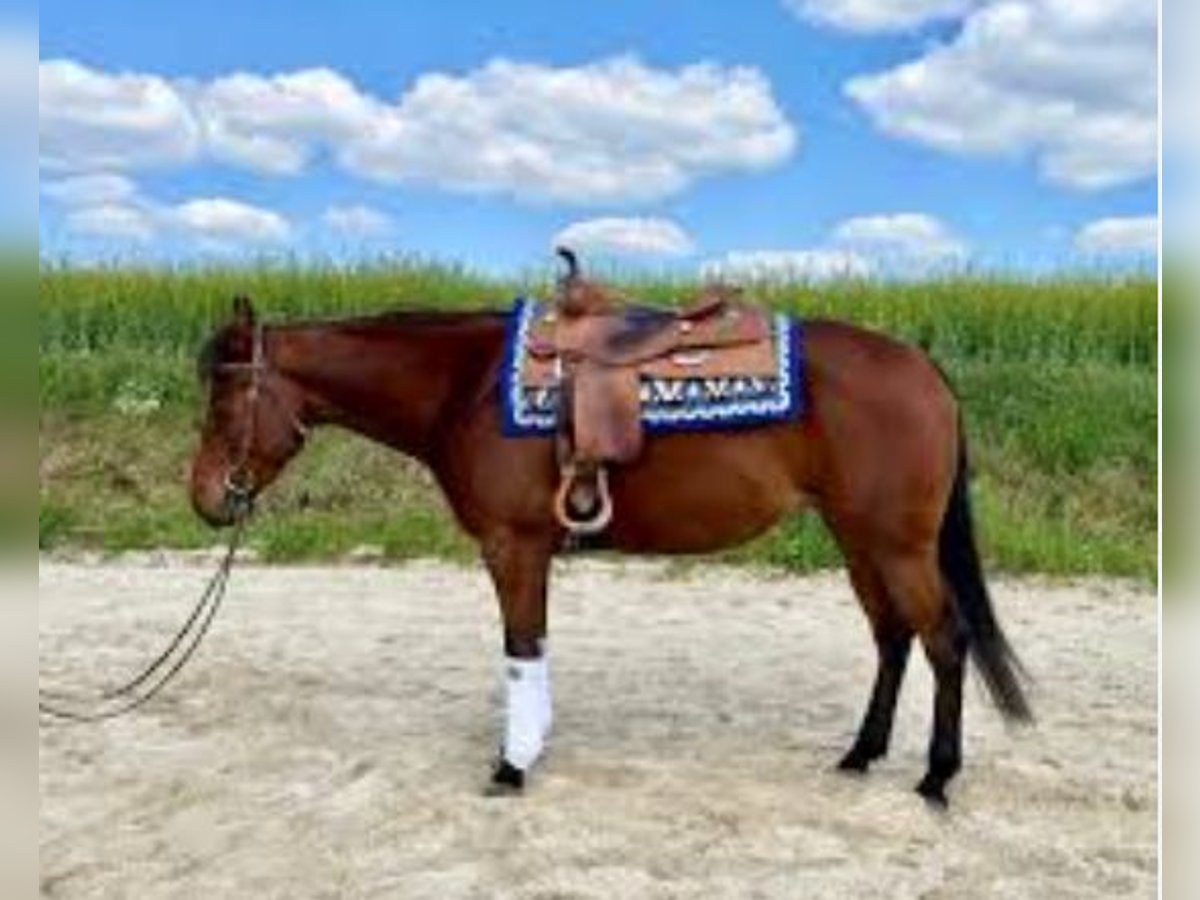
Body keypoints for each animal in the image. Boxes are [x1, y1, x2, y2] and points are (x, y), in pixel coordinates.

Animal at [189, 283, 1031, 807]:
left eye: (226, 397)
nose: (205, 498)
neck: (466, 384)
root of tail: (923, 369)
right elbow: (533, 646)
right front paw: (532, 745)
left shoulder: (513, 545)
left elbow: (520, 647)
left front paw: (512, 764)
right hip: (859, 539)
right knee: (893, 638)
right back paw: (861, 754)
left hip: (897, 544)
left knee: (944, 640)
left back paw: (936, 777)